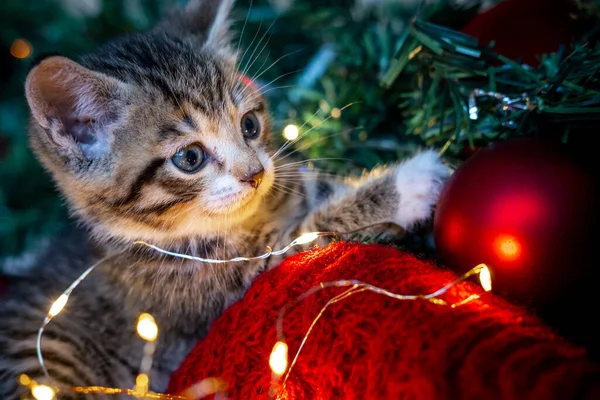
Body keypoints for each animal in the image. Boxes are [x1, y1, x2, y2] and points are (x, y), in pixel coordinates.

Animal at [0, 0, 450, 396]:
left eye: (250, 125)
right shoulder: (214, 295)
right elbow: (306, 239)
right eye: (190, 158)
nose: (255, 174)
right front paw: (409, 184)